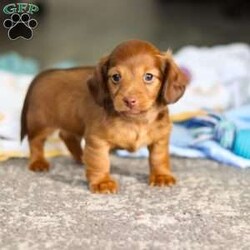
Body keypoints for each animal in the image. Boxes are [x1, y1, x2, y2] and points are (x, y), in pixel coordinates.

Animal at [21, 39, 188, 193]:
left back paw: (82, 158)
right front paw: (102, 182)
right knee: (35, 142)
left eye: (148, 77)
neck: (134, 121)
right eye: (116, 77)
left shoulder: (160, 138)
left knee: (67, 136)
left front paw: (161, 176)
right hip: (41, 124)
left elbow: (159, 157)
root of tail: (43, 74)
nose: (129, 101)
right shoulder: (97, 140)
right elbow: (99, 162)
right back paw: (38, 162)